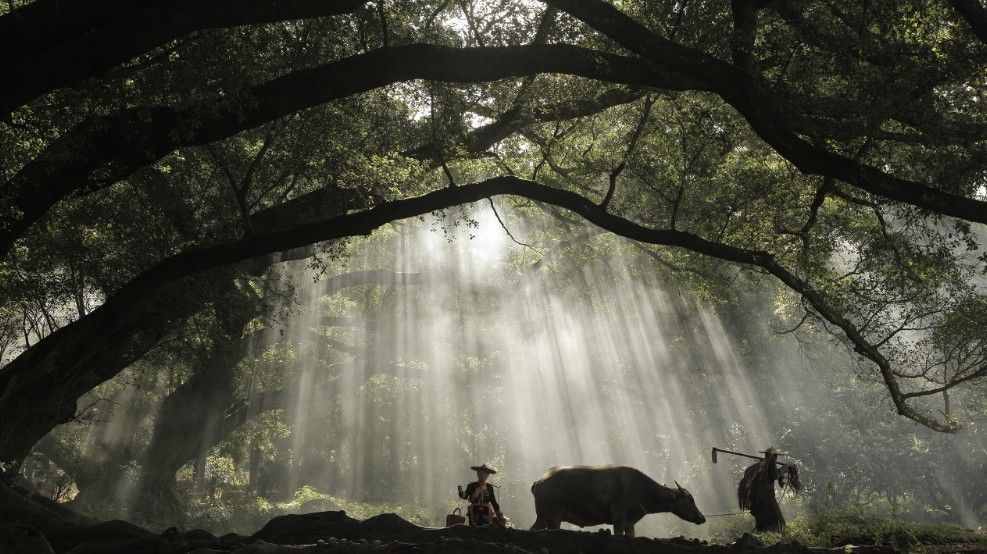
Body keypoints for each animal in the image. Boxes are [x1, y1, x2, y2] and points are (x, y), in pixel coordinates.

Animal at [528, 462, 708, 536]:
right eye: (690, 500)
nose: (702, 518)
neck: (643, 490)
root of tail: (539, 481)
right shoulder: (619, 519)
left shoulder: (630, 523)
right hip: (553, 517)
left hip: (543, 517)